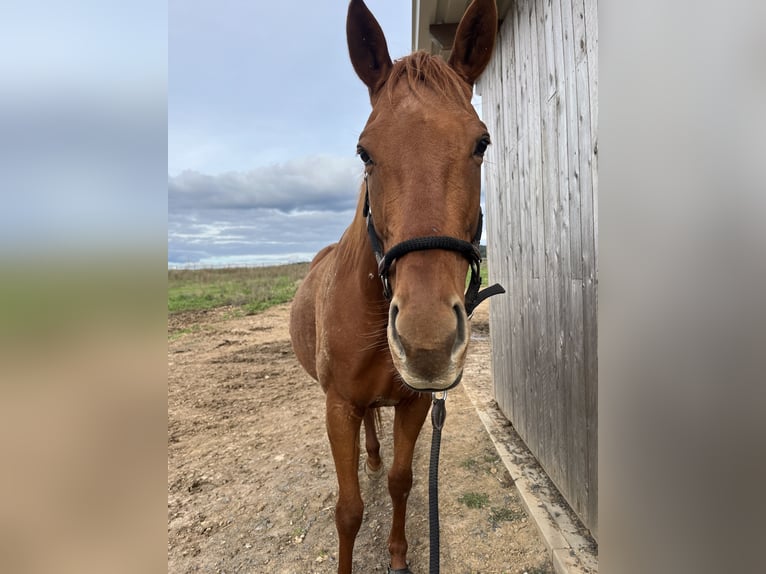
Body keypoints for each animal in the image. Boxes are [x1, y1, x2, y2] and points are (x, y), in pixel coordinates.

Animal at [292, 1, 500, 574]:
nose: (427, 343)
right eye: (364, 152)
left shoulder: (413, 405)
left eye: (481, 142)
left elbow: (403, 481)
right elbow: (348, 511)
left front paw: (401, 556)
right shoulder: (338, 407)